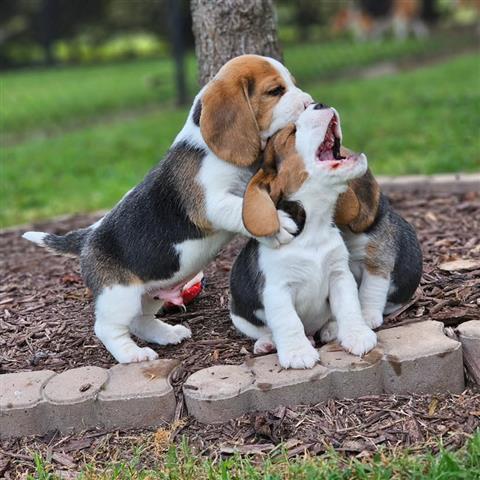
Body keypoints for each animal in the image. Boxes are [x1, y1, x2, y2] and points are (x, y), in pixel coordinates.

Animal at [24, 55, 314, 364]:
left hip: (149, 293)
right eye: (275, 91)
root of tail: (87, 238)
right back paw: (132, 354)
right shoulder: (211, 204)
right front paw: (279, 224)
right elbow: (240, 209)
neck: (208, 147)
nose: (310, 103)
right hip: (119, 295)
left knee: (140, 321)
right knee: (107, 328)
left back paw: (167, 334)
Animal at [227, 103, 376, 370]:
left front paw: (357, 335)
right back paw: (268, 343)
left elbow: (349, 307)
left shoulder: (340, 275)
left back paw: (330, 329)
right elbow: (289, 321)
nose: (320, 104)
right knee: (265, 330)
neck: (312, 229)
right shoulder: (277, 289)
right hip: (238, 314)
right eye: (291, 132)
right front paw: (298, 353)